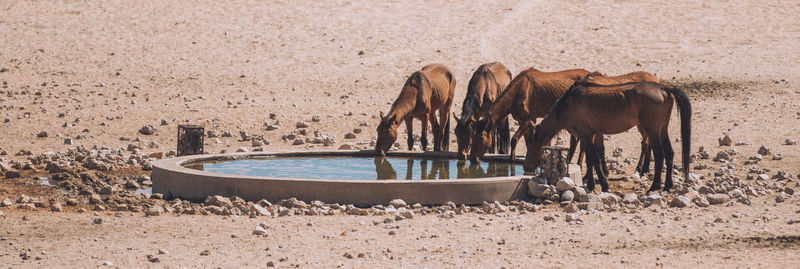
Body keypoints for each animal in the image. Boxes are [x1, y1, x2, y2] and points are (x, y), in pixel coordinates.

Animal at [520, 80, 692, 192]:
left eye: (530, 145)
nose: (526, 166)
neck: (567, 105)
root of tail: (664, 88)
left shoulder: (585, 134)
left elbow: (594, 159)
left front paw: (604, 185)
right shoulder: (589, 135)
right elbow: (590, 160)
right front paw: (590, 184)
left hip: (653, 131)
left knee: (660, 155)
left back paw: (654, 186)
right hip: (662, 130)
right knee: (669, 153)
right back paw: (668, 185)